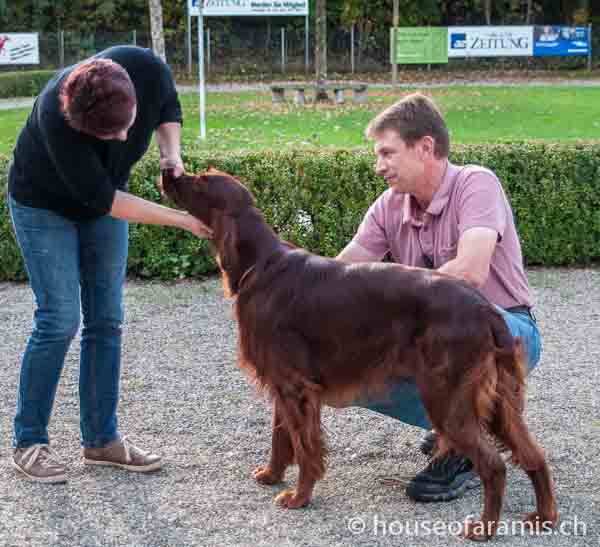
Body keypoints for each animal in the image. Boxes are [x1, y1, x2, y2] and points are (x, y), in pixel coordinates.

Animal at [161, 169, 556, 540]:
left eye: (201, 181)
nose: (169, 172)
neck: (261, 264)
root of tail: (485, 310)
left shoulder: (296, 389)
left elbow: (305, 447)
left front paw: (299, 497)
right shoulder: (282, 385)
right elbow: (280, 438)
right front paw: (271, 475)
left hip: (447, 398)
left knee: (494, 465)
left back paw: (484, 528)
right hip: (497, 401)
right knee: (534, 455)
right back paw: (544, 516)